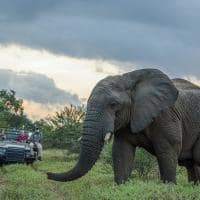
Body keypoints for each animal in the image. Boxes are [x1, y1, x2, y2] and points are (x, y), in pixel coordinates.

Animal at [47, 69, 200, 184]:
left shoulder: (166, 115)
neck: (128, 79)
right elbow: (122, 151)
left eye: (113, 104)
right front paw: (121, 185)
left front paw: (169, 186)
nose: (47, 174)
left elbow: (168, 149)